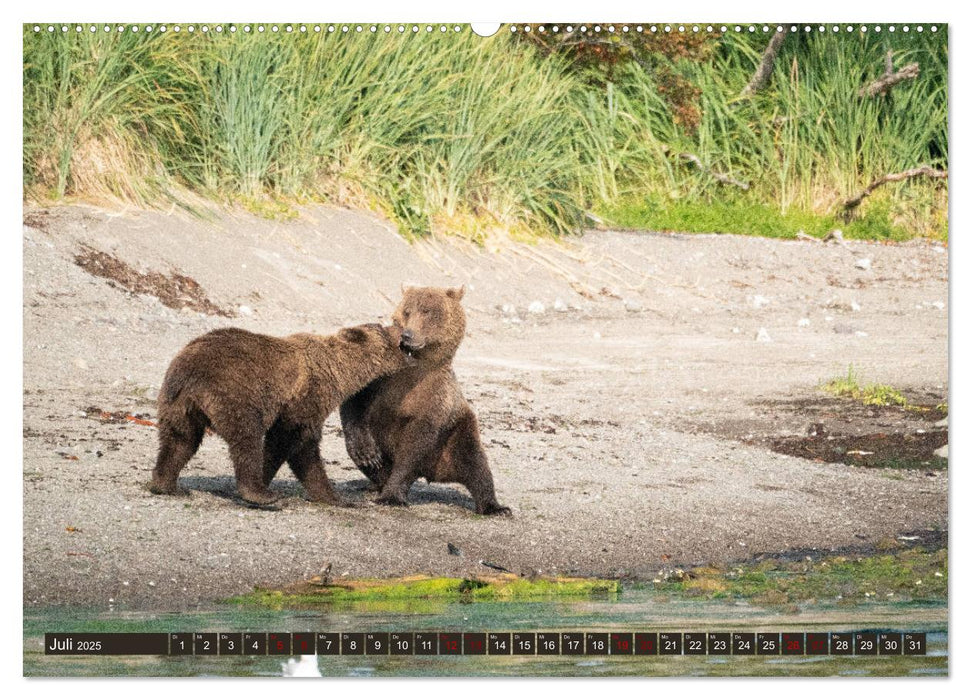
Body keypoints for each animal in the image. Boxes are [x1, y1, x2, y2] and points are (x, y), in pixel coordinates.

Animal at [151, 326, 410, 506]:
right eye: (385, 329)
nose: (404, 334)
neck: (340, 373)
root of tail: (190, 370)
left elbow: (302, 451)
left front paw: (334, 497)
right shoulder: (307, 398)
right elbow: (292, 443)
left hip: (177, 403)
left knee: (179, 441)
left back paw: (167, 485)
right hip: (234, 391)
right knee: (246, 439)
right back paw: (259, 493)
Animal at [338, 284, 512, 516]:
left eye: (428, 312)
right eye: (407, 311)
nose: (407, 335)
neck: (416, 363)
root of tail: (436, 471)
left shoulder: (435, 397)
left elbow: (414, 445)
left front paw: (392, 497)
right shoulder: (384, 377)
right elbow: (355, 399)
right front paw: (366, 454)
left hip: (458, 431)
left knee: (475, 462)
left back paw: (495, 507)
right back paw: (375, 483)